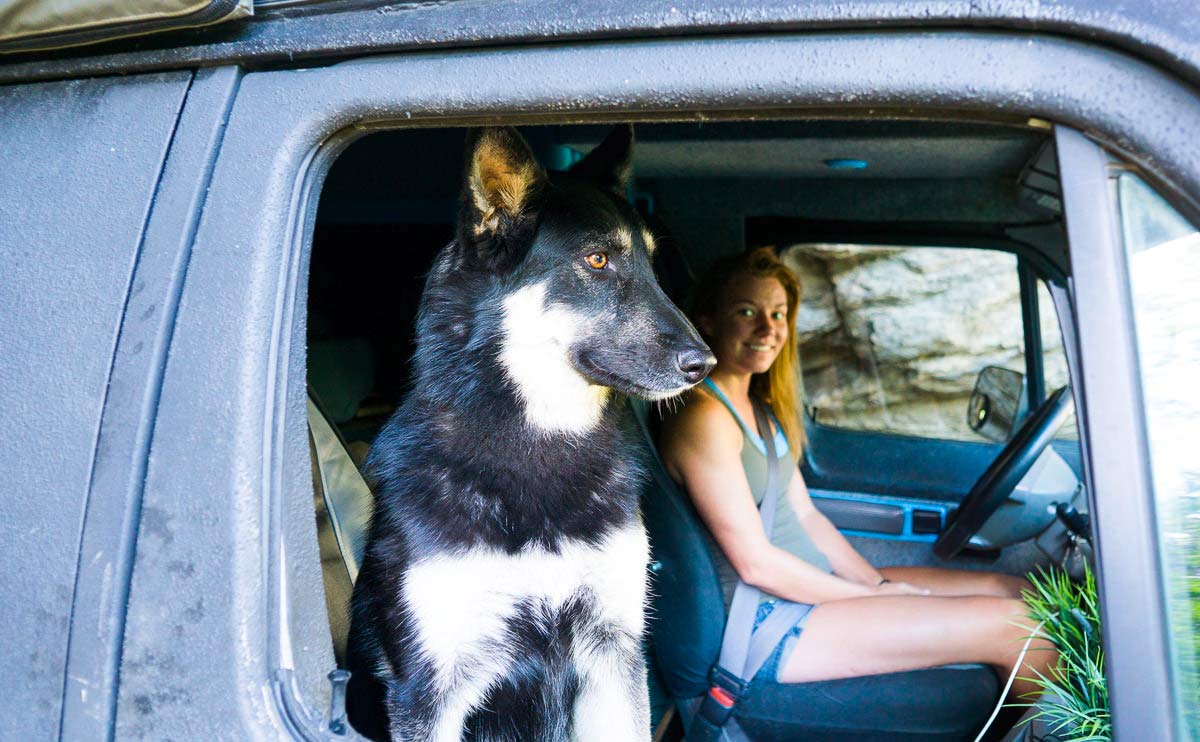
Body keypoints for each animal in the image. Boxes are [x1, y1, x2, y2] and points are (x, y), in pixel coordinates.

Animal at [343, 124, 715, 734]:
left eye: (653, 266)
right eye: (597, 259)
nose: (704, 364)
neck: (537, 444)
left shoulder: (614, 651)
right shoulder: (429, 690)